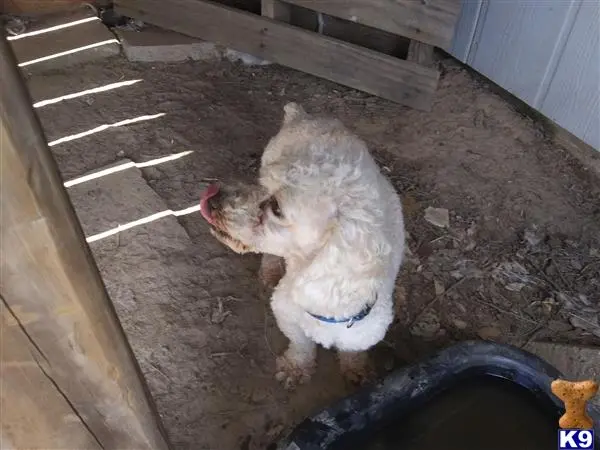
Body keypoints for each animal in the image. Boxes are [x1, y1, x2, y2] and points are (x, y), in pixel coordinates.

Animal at [200, 103, 405, 388]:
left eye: (276, 208)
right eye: (265, 186)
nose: (213, 196)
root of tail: (302, 115)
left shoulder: (364, 334)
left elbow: (352, 351)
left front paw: (357, 369)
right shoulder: (286, 313)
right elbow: (300, 344)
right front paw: (295, 368)